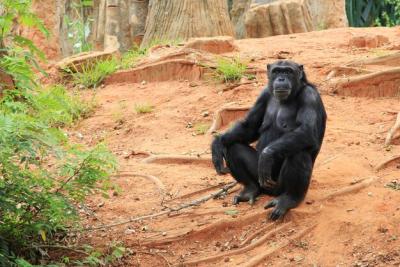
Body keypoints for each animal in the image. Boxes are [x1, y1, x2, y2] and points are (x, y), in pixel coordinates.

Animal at [211, 60, 326, 222]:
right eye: (277, 71)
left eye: (288, 72)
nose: (281, 79)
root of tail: (270, 192)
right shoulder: (264, 94)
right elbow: (250, 127)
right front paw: (218, 143)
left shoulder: (310, 98)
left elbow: (306, 131)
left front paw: (267, 155)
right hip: (262, 183)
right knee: (234, 147)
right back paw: (250, 190)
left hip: (278, 186)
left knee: (298, 153)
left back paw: (289, 199)